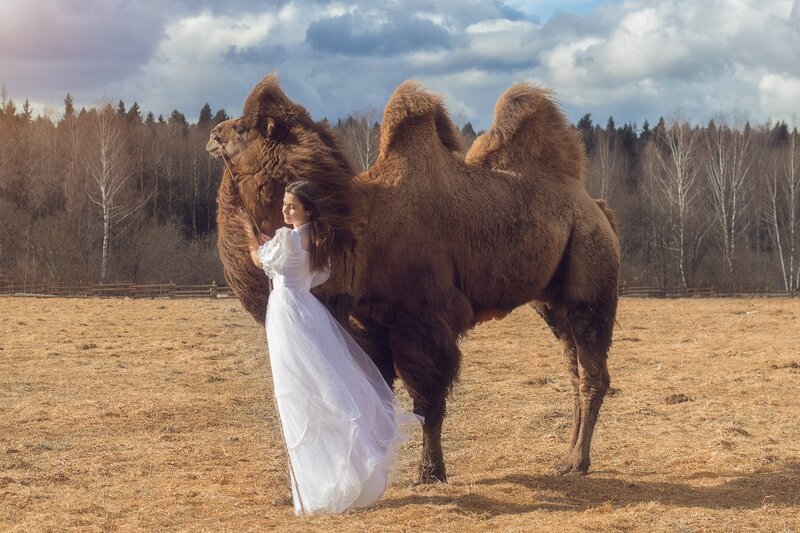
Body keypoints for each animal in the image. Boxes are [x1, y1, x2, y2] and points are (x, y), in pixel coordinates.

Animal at [206, 73, 620, 482]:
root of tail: (596, 207)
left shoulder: (422, 318)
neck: (360, 229)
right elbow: (376, 389)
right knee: (573, 369)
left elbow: (427, 401)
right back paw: (567, 458)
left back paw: (577, 462)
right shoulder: (370, 322)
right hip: (551, 302)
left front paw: (430, 471)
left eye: (245, 127)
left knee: (591, 371)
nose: (213, 133)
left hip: (590, 273)